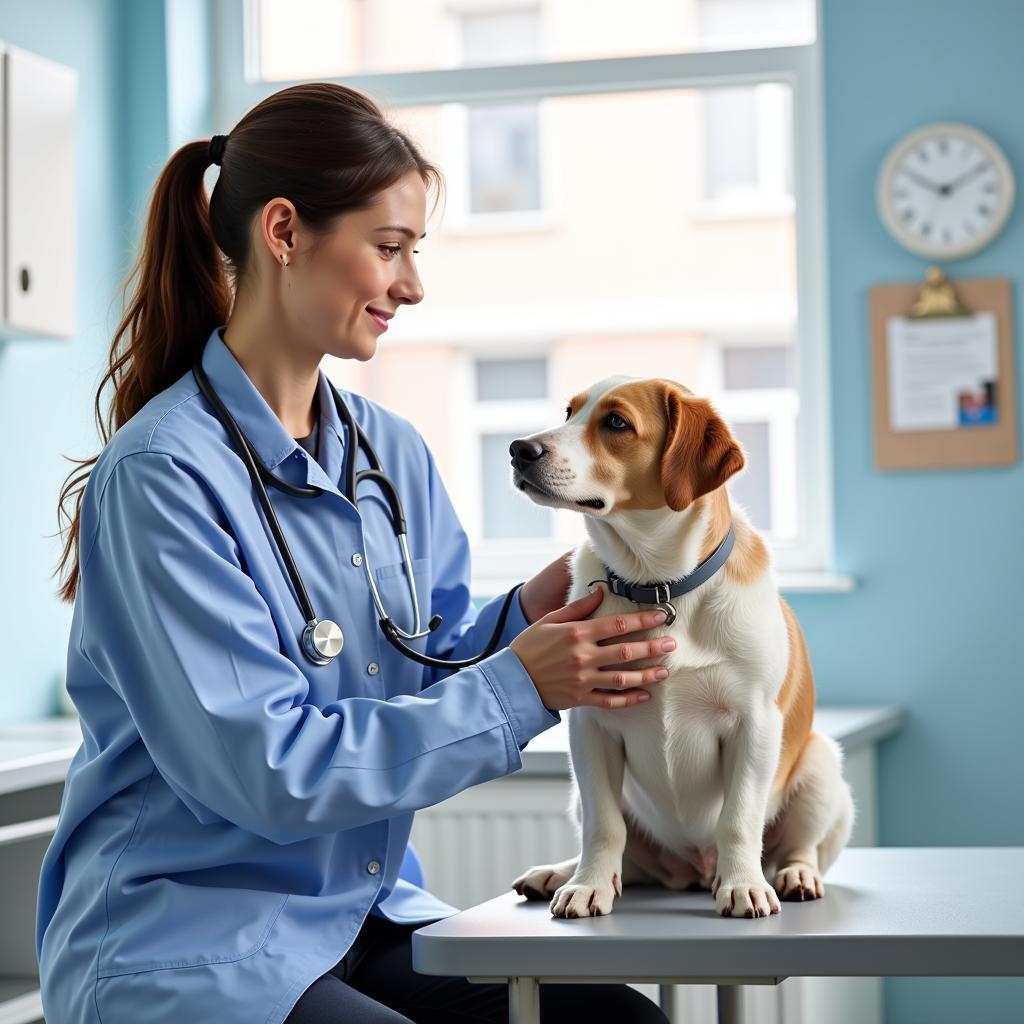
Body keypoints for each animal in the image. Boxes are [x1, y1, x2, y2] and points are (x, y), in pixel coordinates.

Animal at [507, 376, 851, 921]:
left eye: (616, 422)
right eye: (568, 413)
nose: (520, 449)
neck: (660, 584)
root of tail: (692, 871)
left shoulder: (755, 725)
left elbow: (739, 819)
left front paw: (743, 884)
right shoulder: (592, 727)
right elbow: (604, 827)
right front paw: (588, 885)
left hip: (821, 769)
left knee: (801, 846)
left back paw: (793, 875)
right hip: (583, 796)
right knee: (624, 853)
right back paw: (561, 873)